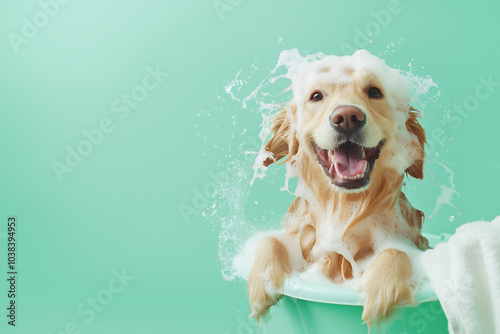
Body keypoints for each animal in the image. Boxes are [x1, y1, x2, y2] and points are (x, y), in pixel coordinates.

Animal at [246, 51, 430, 328]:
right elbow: (271, 239)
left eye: (374, 91)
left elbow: (397, 249)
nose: (347, 118)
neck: (346, 206)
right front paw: (263, 280)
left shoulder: (410, 240)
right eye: (316, 96)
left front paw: (381, 289)